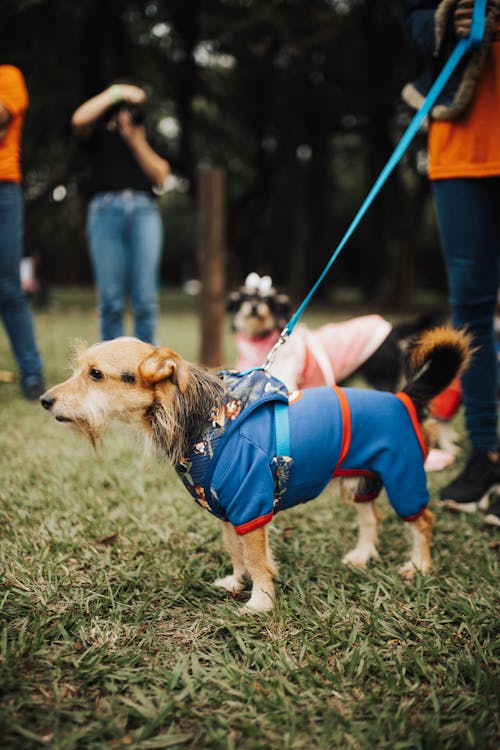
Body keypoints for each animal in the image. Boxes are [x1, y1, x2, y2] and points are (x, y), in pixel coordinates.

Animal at [41, 332, 470, 612]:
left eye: (96, 374)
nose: (44, 400)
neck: (205, 421)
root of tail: (403, 397)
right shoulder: (225, 509)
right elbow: (236, 552)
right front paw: (236, 581)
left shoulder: (251, 505)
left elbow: (258, 560)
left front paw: (260, 602)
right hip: (360, 480)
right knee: (371, 517)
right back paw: (362, 556)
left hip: (403, 475)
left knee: (422, 520)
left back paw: (420, 565)